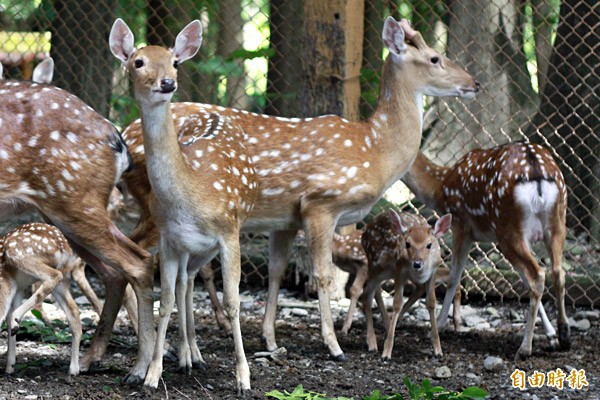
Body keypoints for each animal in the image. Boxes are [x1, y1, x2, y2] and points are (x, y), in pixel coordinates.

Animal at [0, 222, 82, 376]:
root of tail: (64, 247)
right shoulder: (17, 288)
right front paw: (10, 366)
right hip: (61, 277)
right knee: (73, 310)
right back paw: (74, 370)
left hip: (20, 254)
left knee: (53, 276)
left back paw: (16, 320)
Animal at [109, 20, 258, 392]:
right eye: (138, 62)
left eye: (175, 62)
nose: (167, 83)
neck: (192, 195)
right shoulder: (171, 239)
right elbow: (165, 302)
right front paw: (152, 375)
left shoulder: (228, 232)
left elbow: (234, 302)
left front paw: (243, 377)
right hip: (189, 247)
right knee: (185, 284)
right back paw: (188, 356)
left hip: (212, 242)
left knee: (190, 282)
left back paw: (194, 355)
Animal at [358, 209, 452, 356]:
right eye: (407, 244)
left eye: (429, 245)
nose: (417, 263)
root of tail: (365, 231)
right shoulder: (399, 268)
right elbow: (397, 303)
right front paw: (387, 351)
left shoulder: (433, 270)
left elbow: (431, 303)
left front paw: (438, 349)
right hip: (376, 264)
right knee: (367, 293)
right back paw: (372, 342)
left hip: (385, 271)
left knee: (376, 291)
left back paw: (386, 326)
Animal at [400, 142, 568, 360]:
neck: (440, 187)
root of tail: (536, 171)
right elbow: (523, 280)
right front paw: (551, 336)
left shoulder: (461, 224)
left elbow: (454, 277)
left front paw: (439, 326)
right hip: (557, 223)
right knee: (557, 272)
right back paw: (564, 336)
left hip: (508, 229)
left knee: (538, 274)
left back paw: (524, 349)